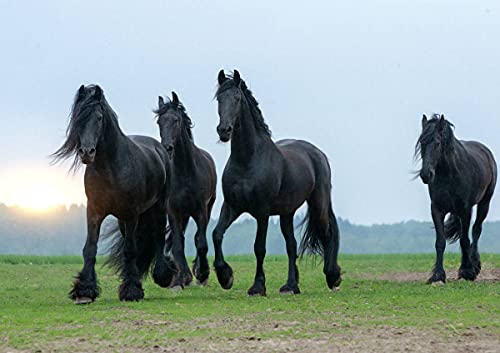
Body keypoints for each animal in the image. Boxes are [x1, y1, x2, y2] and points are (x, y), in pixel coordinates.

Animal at [52, 84, 174, 302]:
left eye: (99, 117)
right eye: (78, 118)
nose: (87, 152)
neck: (110, 167)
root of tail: (159, 148)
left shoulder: (131, 214)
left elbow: (131, 250)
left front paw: (132, 290)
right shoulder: (94, 211)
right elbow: (90, 248)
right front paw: (84, 290)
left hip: (158, 207)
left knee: (158, 236)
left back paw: (162, 275)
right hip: (123, 220)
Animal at [154, 92, 217, 288]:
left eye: (175, 120)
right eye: (159, 122)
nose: (167, 147)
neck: (184, 172)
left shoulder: (201, 210)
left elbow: (201, 242)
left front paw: (202, 273)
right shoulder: (173, 211)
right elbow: (177, 244)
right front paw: (182, 278)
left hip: (205, 208)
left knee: (198, 238)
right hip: (184, 214)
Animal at [211, 69, 340, 294]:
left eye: (237, 98)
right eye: (219, 98)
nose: (224, 131)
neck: (247, 160)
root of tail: (317, 153)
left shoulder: (262, 212)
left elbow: (259, 248)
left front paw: (257, 286)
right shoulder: (232, 206)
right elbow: (217, 234)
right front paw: (225, 276)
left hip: (318, 203)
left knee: (327, 232)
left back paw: (332, 277)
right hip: (286, 213)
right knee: (291, 245)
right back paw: (291, 285)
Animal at [414, 115, 496, 284]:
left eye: (437, 143)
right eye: (422, 143)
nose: (426, 174)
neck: (449, 174)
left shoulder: (465, 210)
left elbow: (465, 240)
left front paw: (467, 271)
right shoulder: (437, 209)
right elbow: (440, 242)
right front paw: (437, 275)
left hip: (484, 203)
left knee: (476, 230)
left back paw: (474, 265)